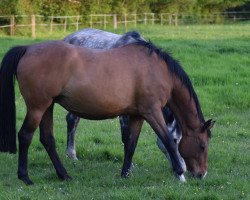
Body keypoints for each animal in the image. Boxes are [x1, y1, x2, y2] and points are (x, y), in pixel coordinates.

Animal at [0, 38, 215, 184]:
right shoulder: (152, 112)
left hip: (47, 106)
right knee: (25, 136)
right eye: (202, 146)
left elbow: (131, 144)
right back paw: (25, 177)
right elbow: (168, 141)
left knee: (47, 139)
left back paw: (64, 175)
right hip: (37, 107)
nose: (202, 174)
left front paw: (125, 174)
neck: (157, 69)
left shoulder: (137, 115)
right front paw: (180, 175)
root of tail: (28, 49)